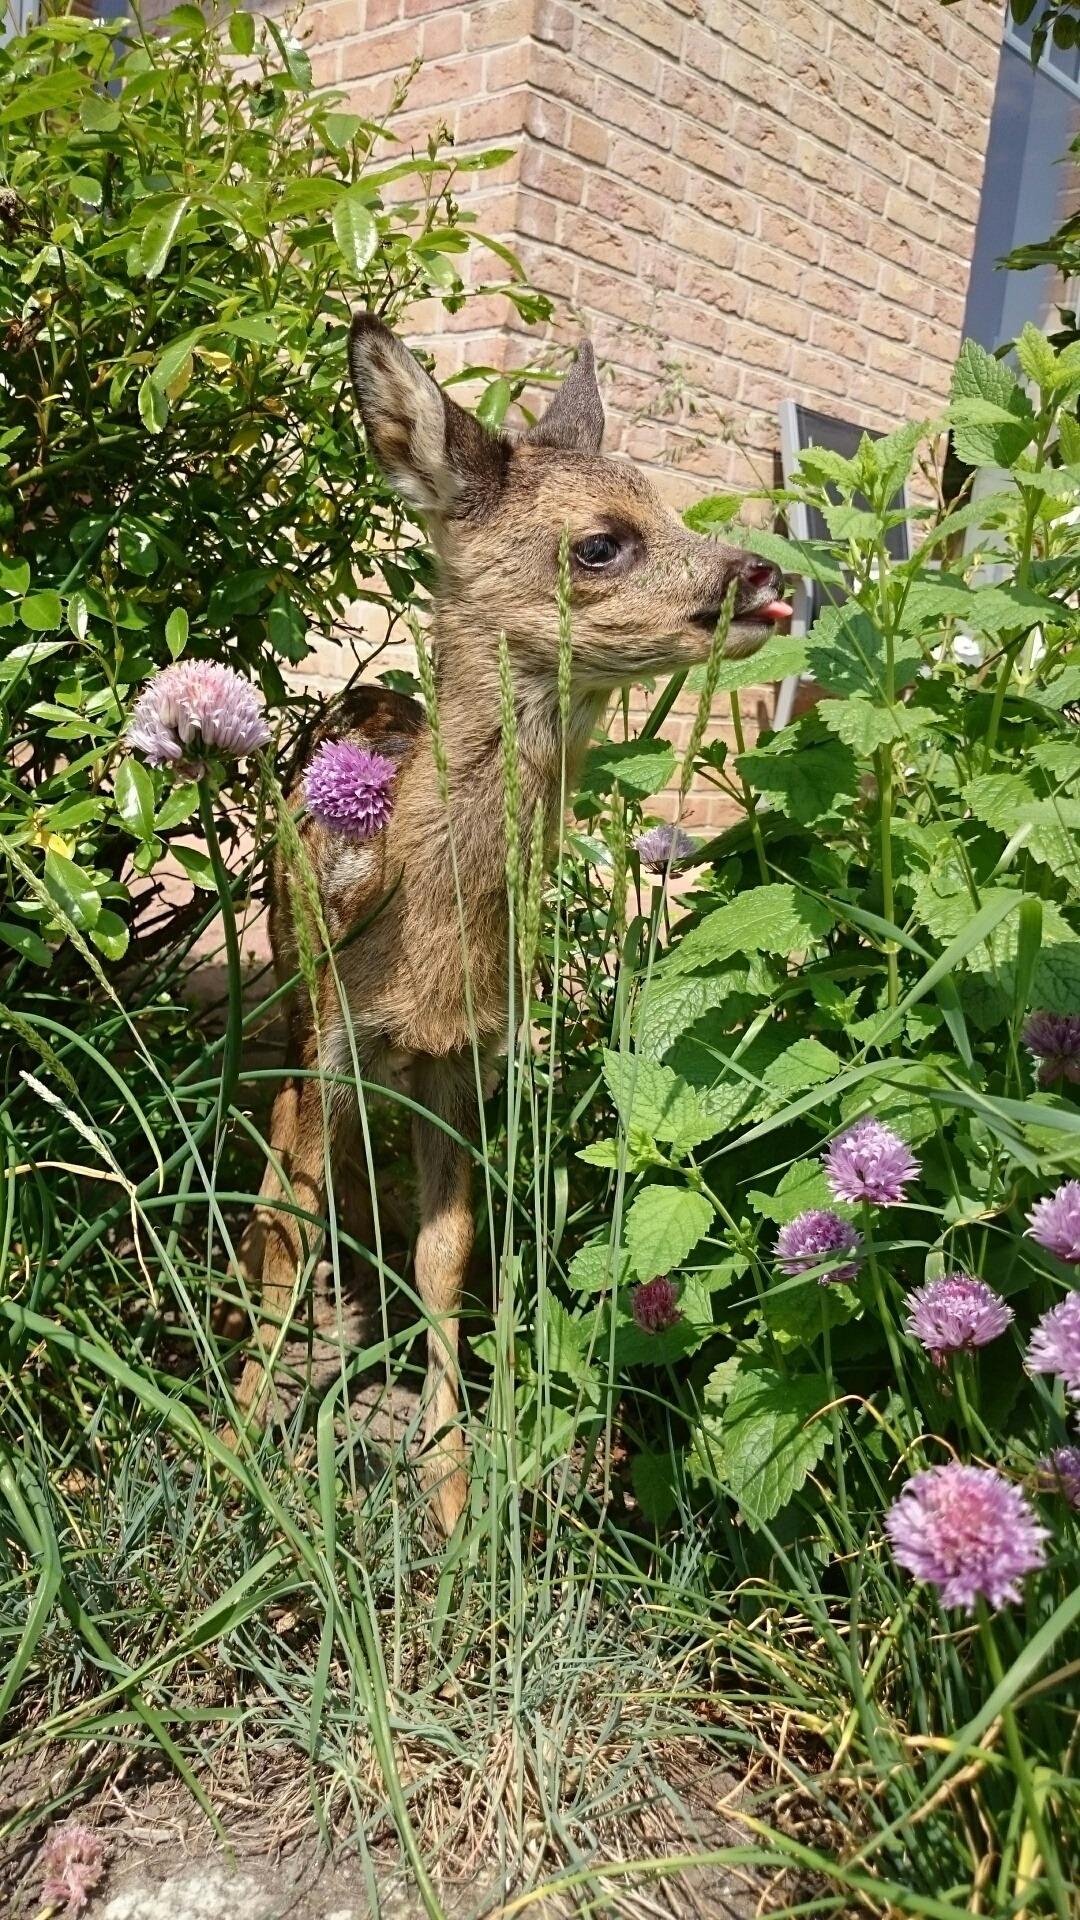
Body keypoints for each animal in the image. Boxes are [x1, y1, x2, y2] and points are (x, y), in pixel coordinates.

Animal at [232, 314, 790, 1534]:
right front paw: (234, 1443)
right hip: (290, 991)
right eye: (601, 545)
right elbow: (290, 1227)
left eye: (674, 508)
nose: (761, 573)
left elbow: (448, 1261)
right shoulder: (335, 1037)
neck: (429, 941)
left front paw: (450, 1494)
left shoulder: (468, 1062)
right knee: (280, 1186)